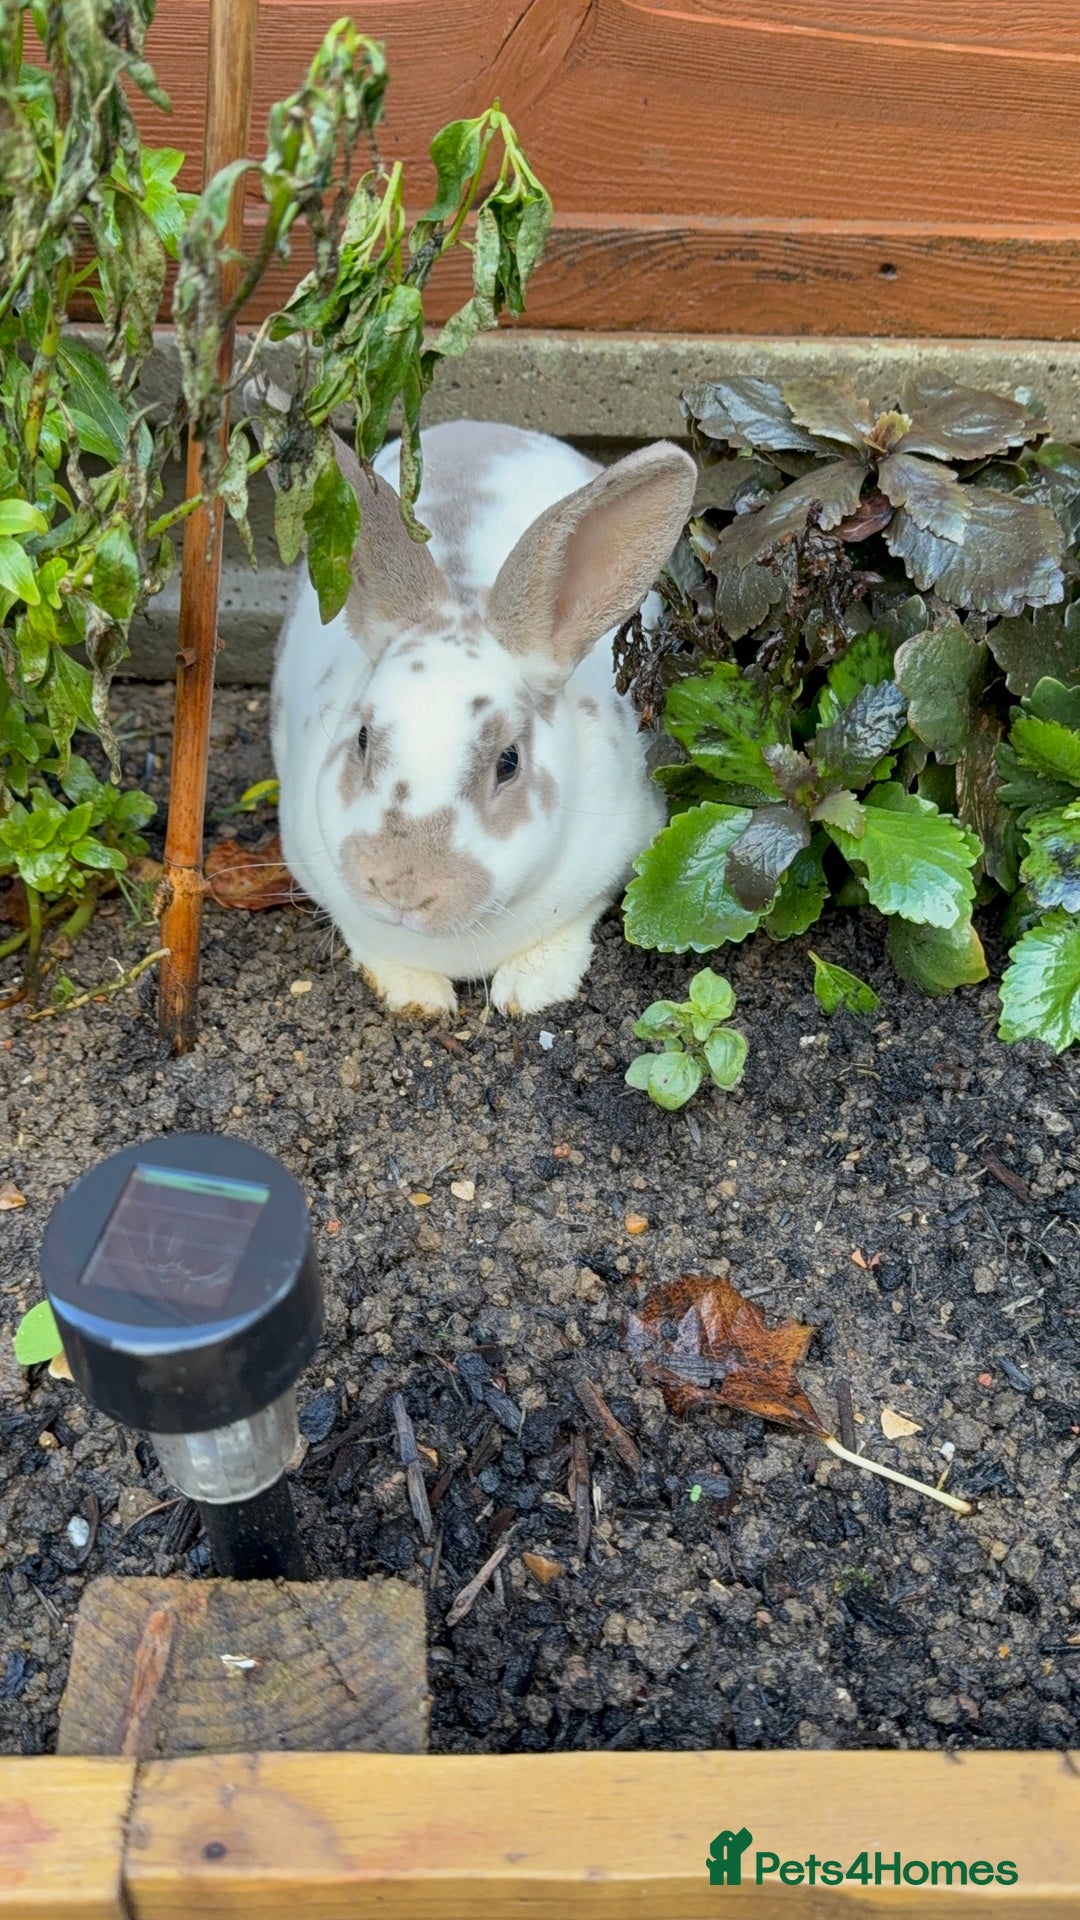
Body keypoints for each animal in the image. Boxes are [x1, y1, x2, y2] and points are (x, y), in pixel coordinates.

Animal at [271, 418, 697, 1017]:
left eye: (508, 762)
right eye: (361, 739)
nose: (401, 890)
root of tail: (481, 426)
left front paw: (533, 990)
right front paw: (419, 997)